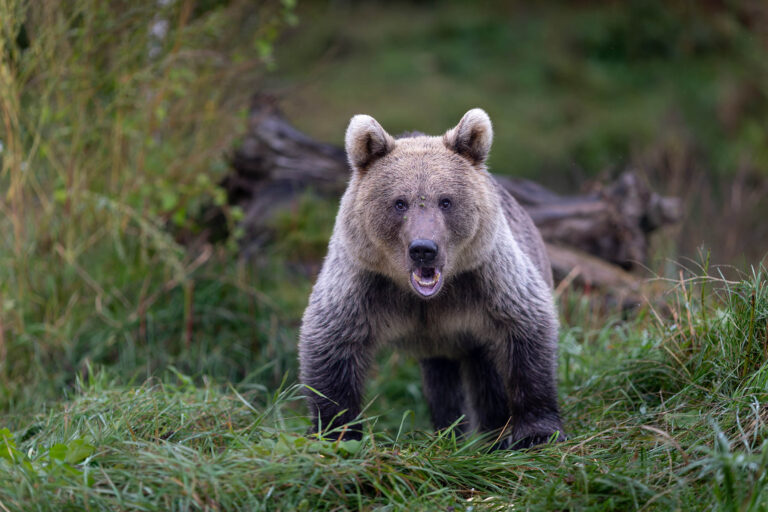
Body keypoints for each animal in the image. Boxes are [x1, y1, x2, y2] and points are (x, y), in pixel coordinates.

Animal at [298, 109, 564, 449]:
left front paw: (536, 432)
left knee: (485, 377)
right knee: (442, 383)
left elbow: (525, 330)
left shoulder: (487, 277)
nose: (424, 249)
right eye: (400, 202)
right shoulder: (363, 282)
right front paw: (337, 432)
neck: (428, 298)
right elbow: (332, 343)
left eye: (446, 201)